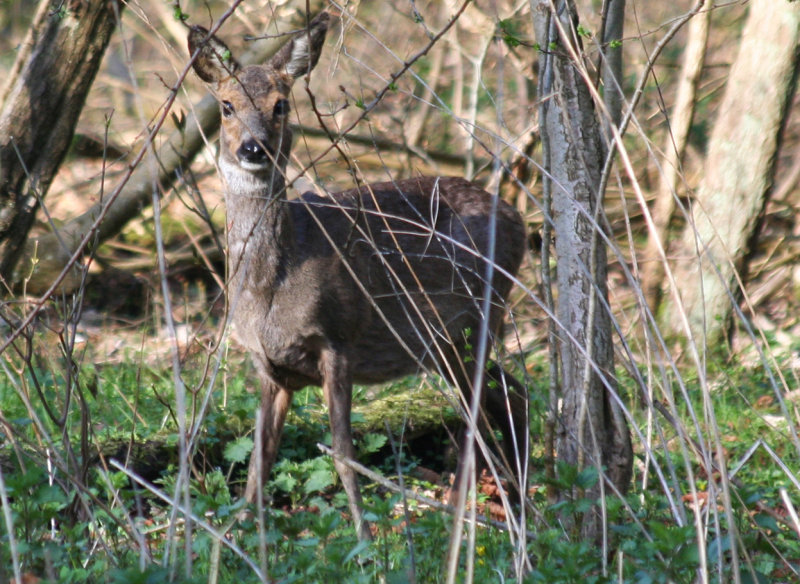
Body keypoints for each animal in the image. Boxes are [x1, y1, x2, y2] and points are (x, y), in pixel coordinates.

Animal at [184, 11, 528, 540]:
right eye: (226, 105)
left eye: (281, 104)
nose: (253, 147)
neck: (268, 290)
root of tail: (519, 218)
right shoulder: (267, 366)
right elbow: (259, 462)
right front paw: (237, 535)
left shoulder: (338, 339)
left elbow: (345, 456)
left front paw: (366, 541)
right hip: (450, 341)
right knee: (513, 397)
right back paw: (519, 503)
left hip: (478, 318)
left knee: (484, 414)